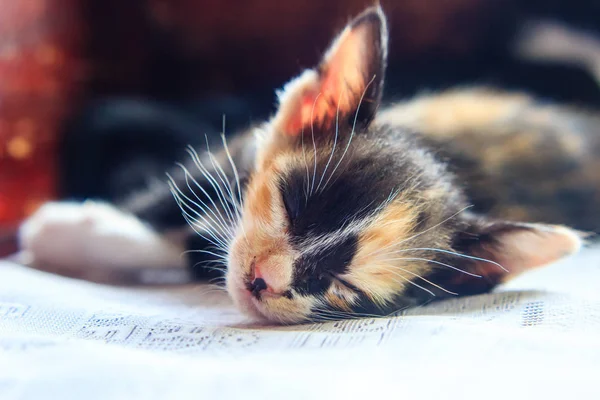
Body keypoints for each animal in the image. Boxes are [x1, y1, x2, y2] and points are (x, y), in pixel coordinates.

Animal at [18, 6, 596, 324]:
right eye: (293, 204)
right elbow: (184, 186)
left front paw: (73, 234)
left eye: (346, 287)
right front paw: (77, 223)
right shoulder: (245, 145)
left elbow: (198, 248)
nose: (262, 281)